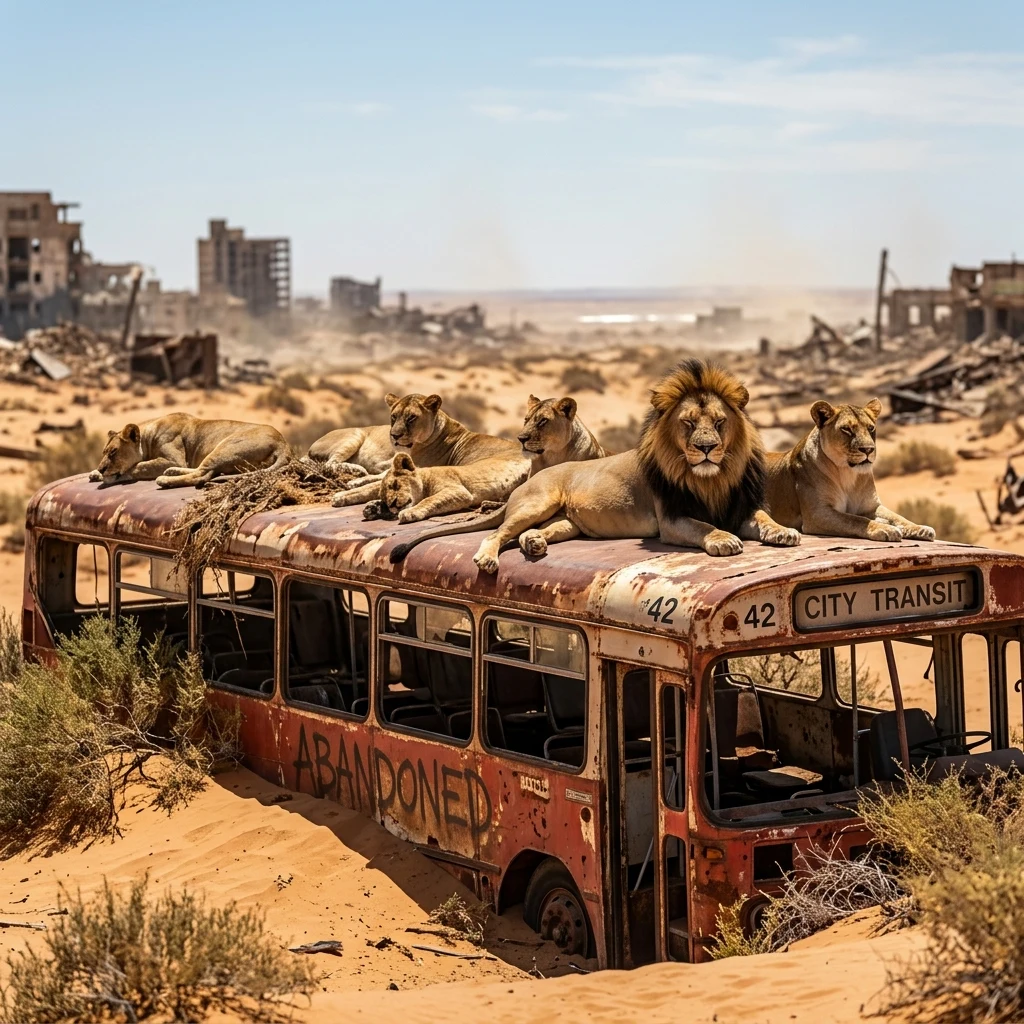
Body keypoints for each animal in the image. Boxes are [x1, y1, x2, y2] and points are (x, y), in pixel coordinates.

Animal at [89, 413, 289, 489]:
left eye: (113, 452)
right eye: (104, 452)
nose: (101, 469)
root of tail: (283, 443)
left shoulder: (174, 458)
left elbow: (138, 467)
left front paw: (109, 477)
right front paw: (94, 473)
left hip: (225, 446)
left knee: (202, 474)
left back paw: (165, 479)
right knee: (204, 472)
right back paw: (170, 473)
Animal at [330, 393, 521, 507]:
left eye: (411, 418)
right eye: (394, 416)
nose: (394, 435)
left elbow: (378, 481)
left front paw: (345, 491)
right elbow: (379, 475)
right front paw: (357, 480)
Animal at [353, 451, 531, 524]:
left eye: (395, 485)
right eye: (384, 498)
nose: (392, 504)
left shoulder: (458, 490)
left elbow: (430, 500)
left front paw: (410, 513)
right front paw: (373, 508)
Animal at [764, 399, 935, 542]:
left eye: (871, 428)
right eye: (846, 429)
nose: (868, 449)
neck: (847, 474)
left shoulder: (871, 506)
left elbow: (897, 517)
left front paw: (920, 528)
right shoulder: (817, 514)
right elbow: (856, 520)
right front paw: (886, 528)